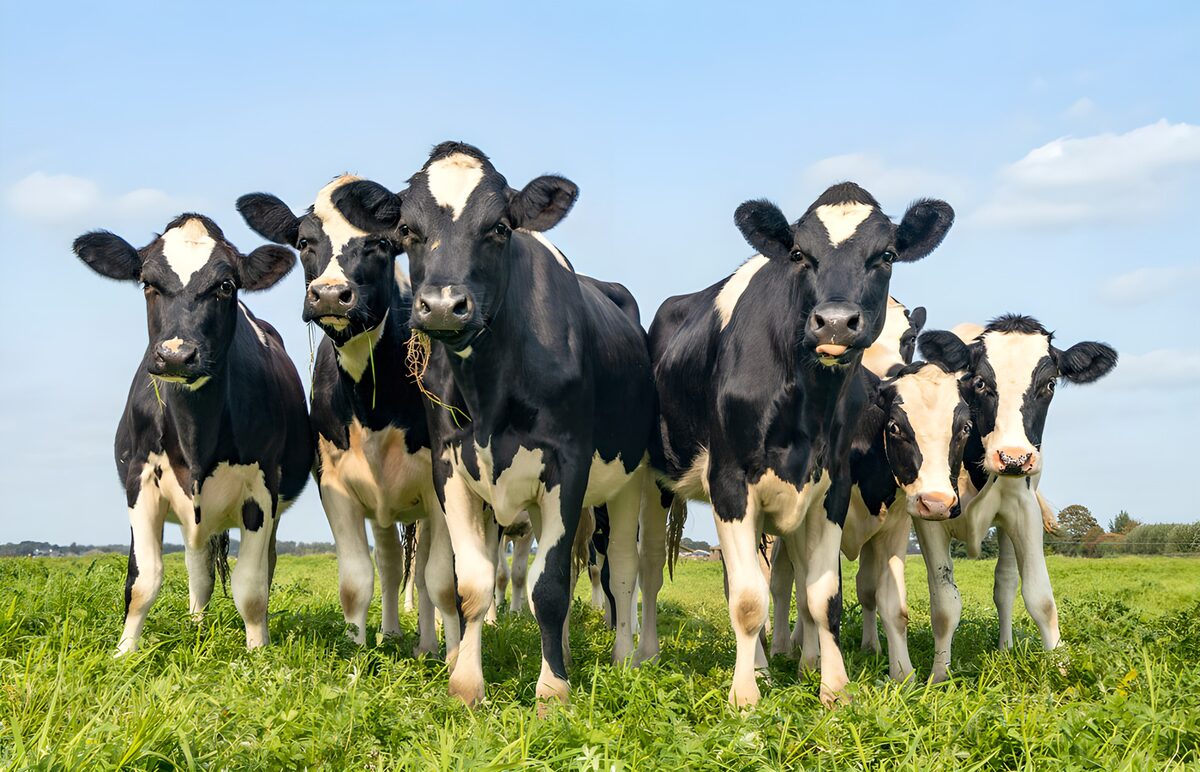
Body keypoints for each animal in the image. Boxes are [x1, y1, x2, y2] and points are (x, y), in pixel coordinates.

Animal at [72, 214, 311, 654]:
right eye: (148, 283)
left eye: (225, 285)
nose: (176, 356)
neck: (194, 434)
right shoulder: (141, 480)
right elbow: (142, 581)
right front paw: (124, 652)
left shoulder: (262, 488)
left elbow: (251, 587)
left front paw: (258, 652)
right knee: (199, 571)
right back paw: (196, 626)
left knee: (260, 567)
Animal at [236, 177, 461, 657]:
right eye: (305, 242)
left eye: (379, 243)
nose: (328, 295)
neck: (370, 403)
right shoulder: (335, 482)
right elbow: (357, 580)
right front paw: (356, 651)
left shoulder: (441, 485)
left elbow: (441, 580)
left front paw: (455, 658)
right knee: (393, 564)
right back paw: (393, 634)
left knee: (425, 572)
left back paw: (428, 645)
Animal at [332, 142, 656, 707]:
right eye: (407, 230)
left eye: (500, 227)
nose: (443, 306)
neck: (490, 388)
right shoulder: (450, 468)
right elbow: (472, 585)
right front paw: (466, 683)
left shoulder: (567, 465)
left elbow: (550, 587)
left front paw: (552, 692)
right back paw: (562, 652)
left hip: (627, 482)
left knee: (619, 568)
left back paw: (622, 659)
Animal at [649, 183, 954, 705]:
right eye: (798, 254)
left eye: (887, 254)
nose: (834, 322)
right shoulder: (729, 483)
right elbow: (747, 601)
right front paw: (744, 697)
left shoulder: (831, 487)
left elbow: (823, 597)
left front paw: (835, 687)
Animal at [917, 315, 1117, 680]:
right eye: (980, 382)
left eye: (1049, 385)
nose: (1013, 458)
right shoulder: (927, 516)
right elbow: (944, 603)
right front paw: (938, 676)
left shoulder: (1023, 511)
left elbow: (1040, 597)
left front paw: (1063, 669)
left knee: (1005, 584)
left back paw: (1005, 648)